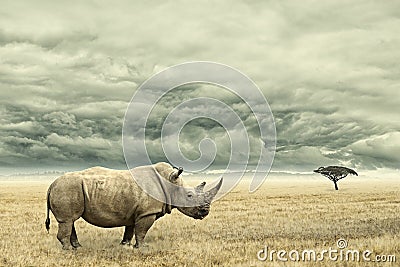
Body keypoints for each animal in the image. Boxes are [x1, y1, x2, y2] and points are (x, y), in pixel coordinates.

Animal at [46, 162, 225, 250]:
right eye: (189, 196)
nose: (205, 211)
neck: (170, 182)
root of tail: (51, 185)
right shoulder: (147, 212)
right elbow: (142, 231)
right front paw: (143, 247)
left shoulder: (134, 212)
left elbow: (130, 230)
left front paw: (125, 245)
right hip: (68, 187)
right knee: (68, 220)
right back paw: (69, 250)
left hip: (68, 188)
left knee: (70, 221)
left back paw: (77, 247)